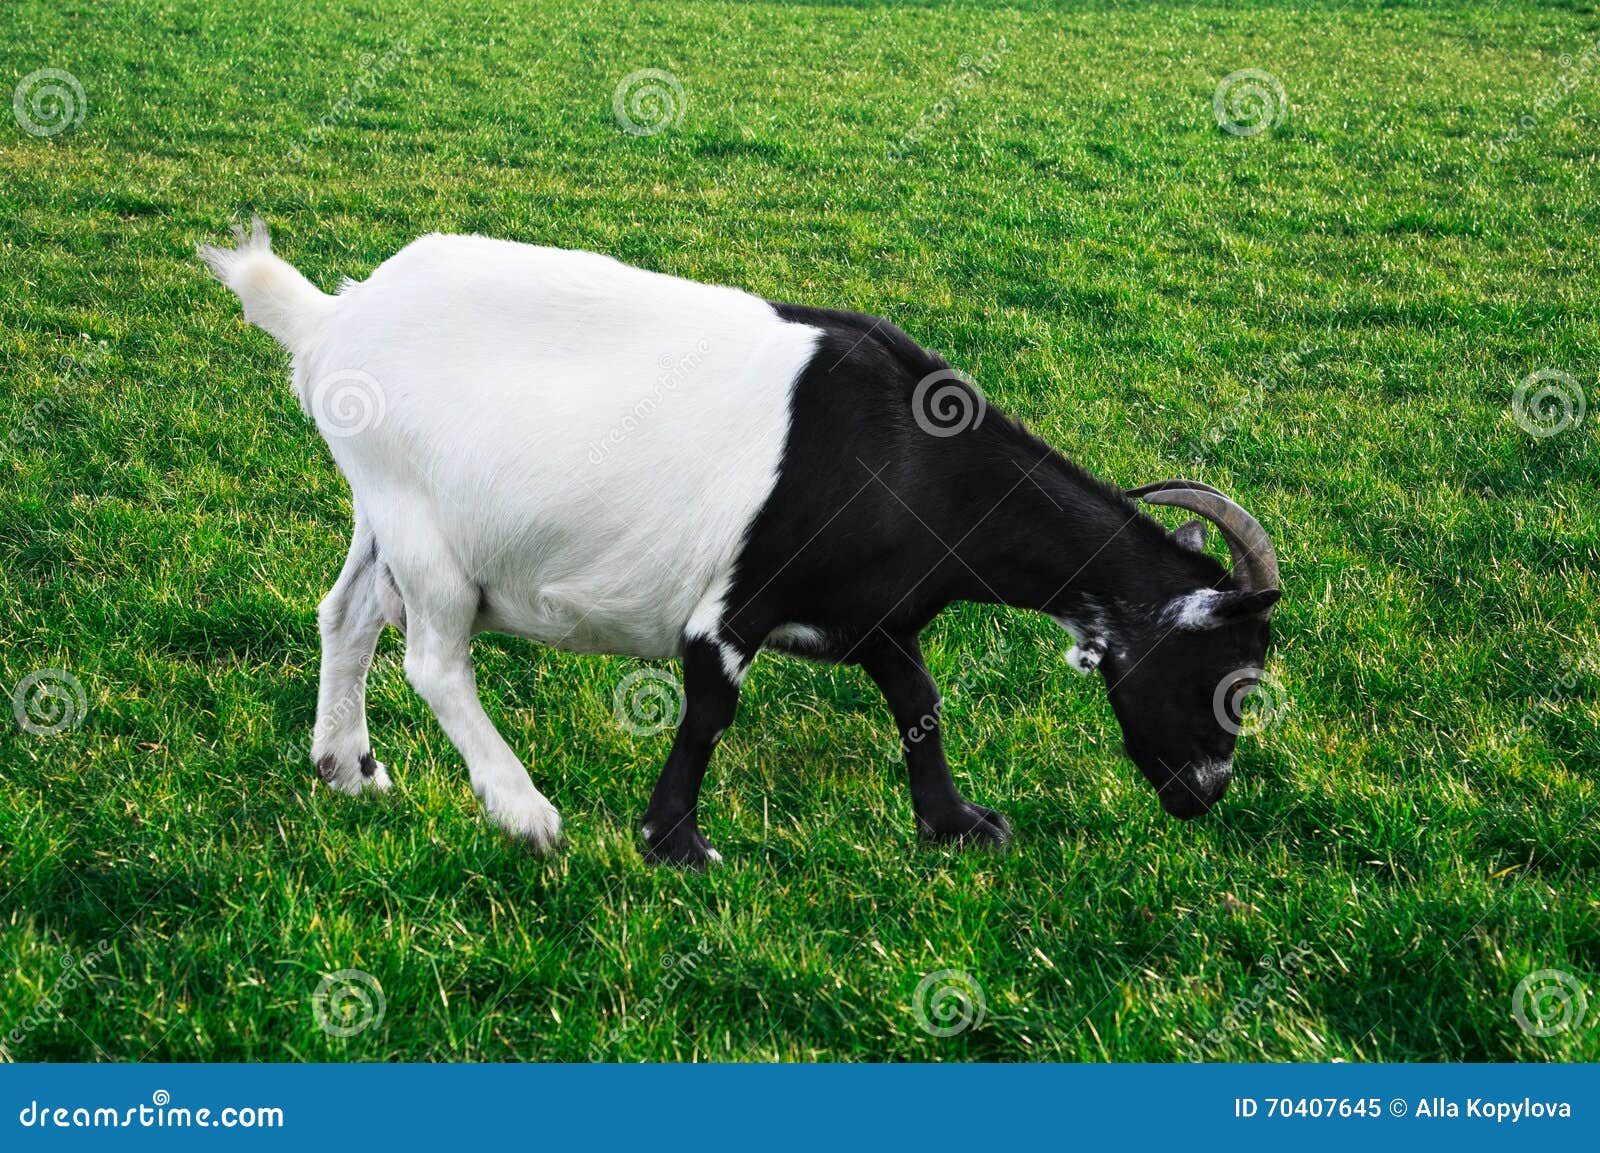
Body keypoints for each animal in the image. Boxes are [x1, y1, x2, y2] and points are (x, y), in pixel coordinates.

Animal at [199, 218, 1282, 866]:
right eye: (1230, 679)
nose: (1205, 793)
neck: (910, 456)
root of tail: (333, 320)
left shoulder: (876, 613)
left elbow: (919, 703)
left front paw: (957, 823)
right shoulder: (733, 604)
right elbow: (712, 708)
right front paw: (674, 839)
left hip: (380, 509)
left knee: (346, 616)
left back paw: (348, 768)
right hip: (423, 524)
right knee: (431, 658)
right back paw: (524, 811)